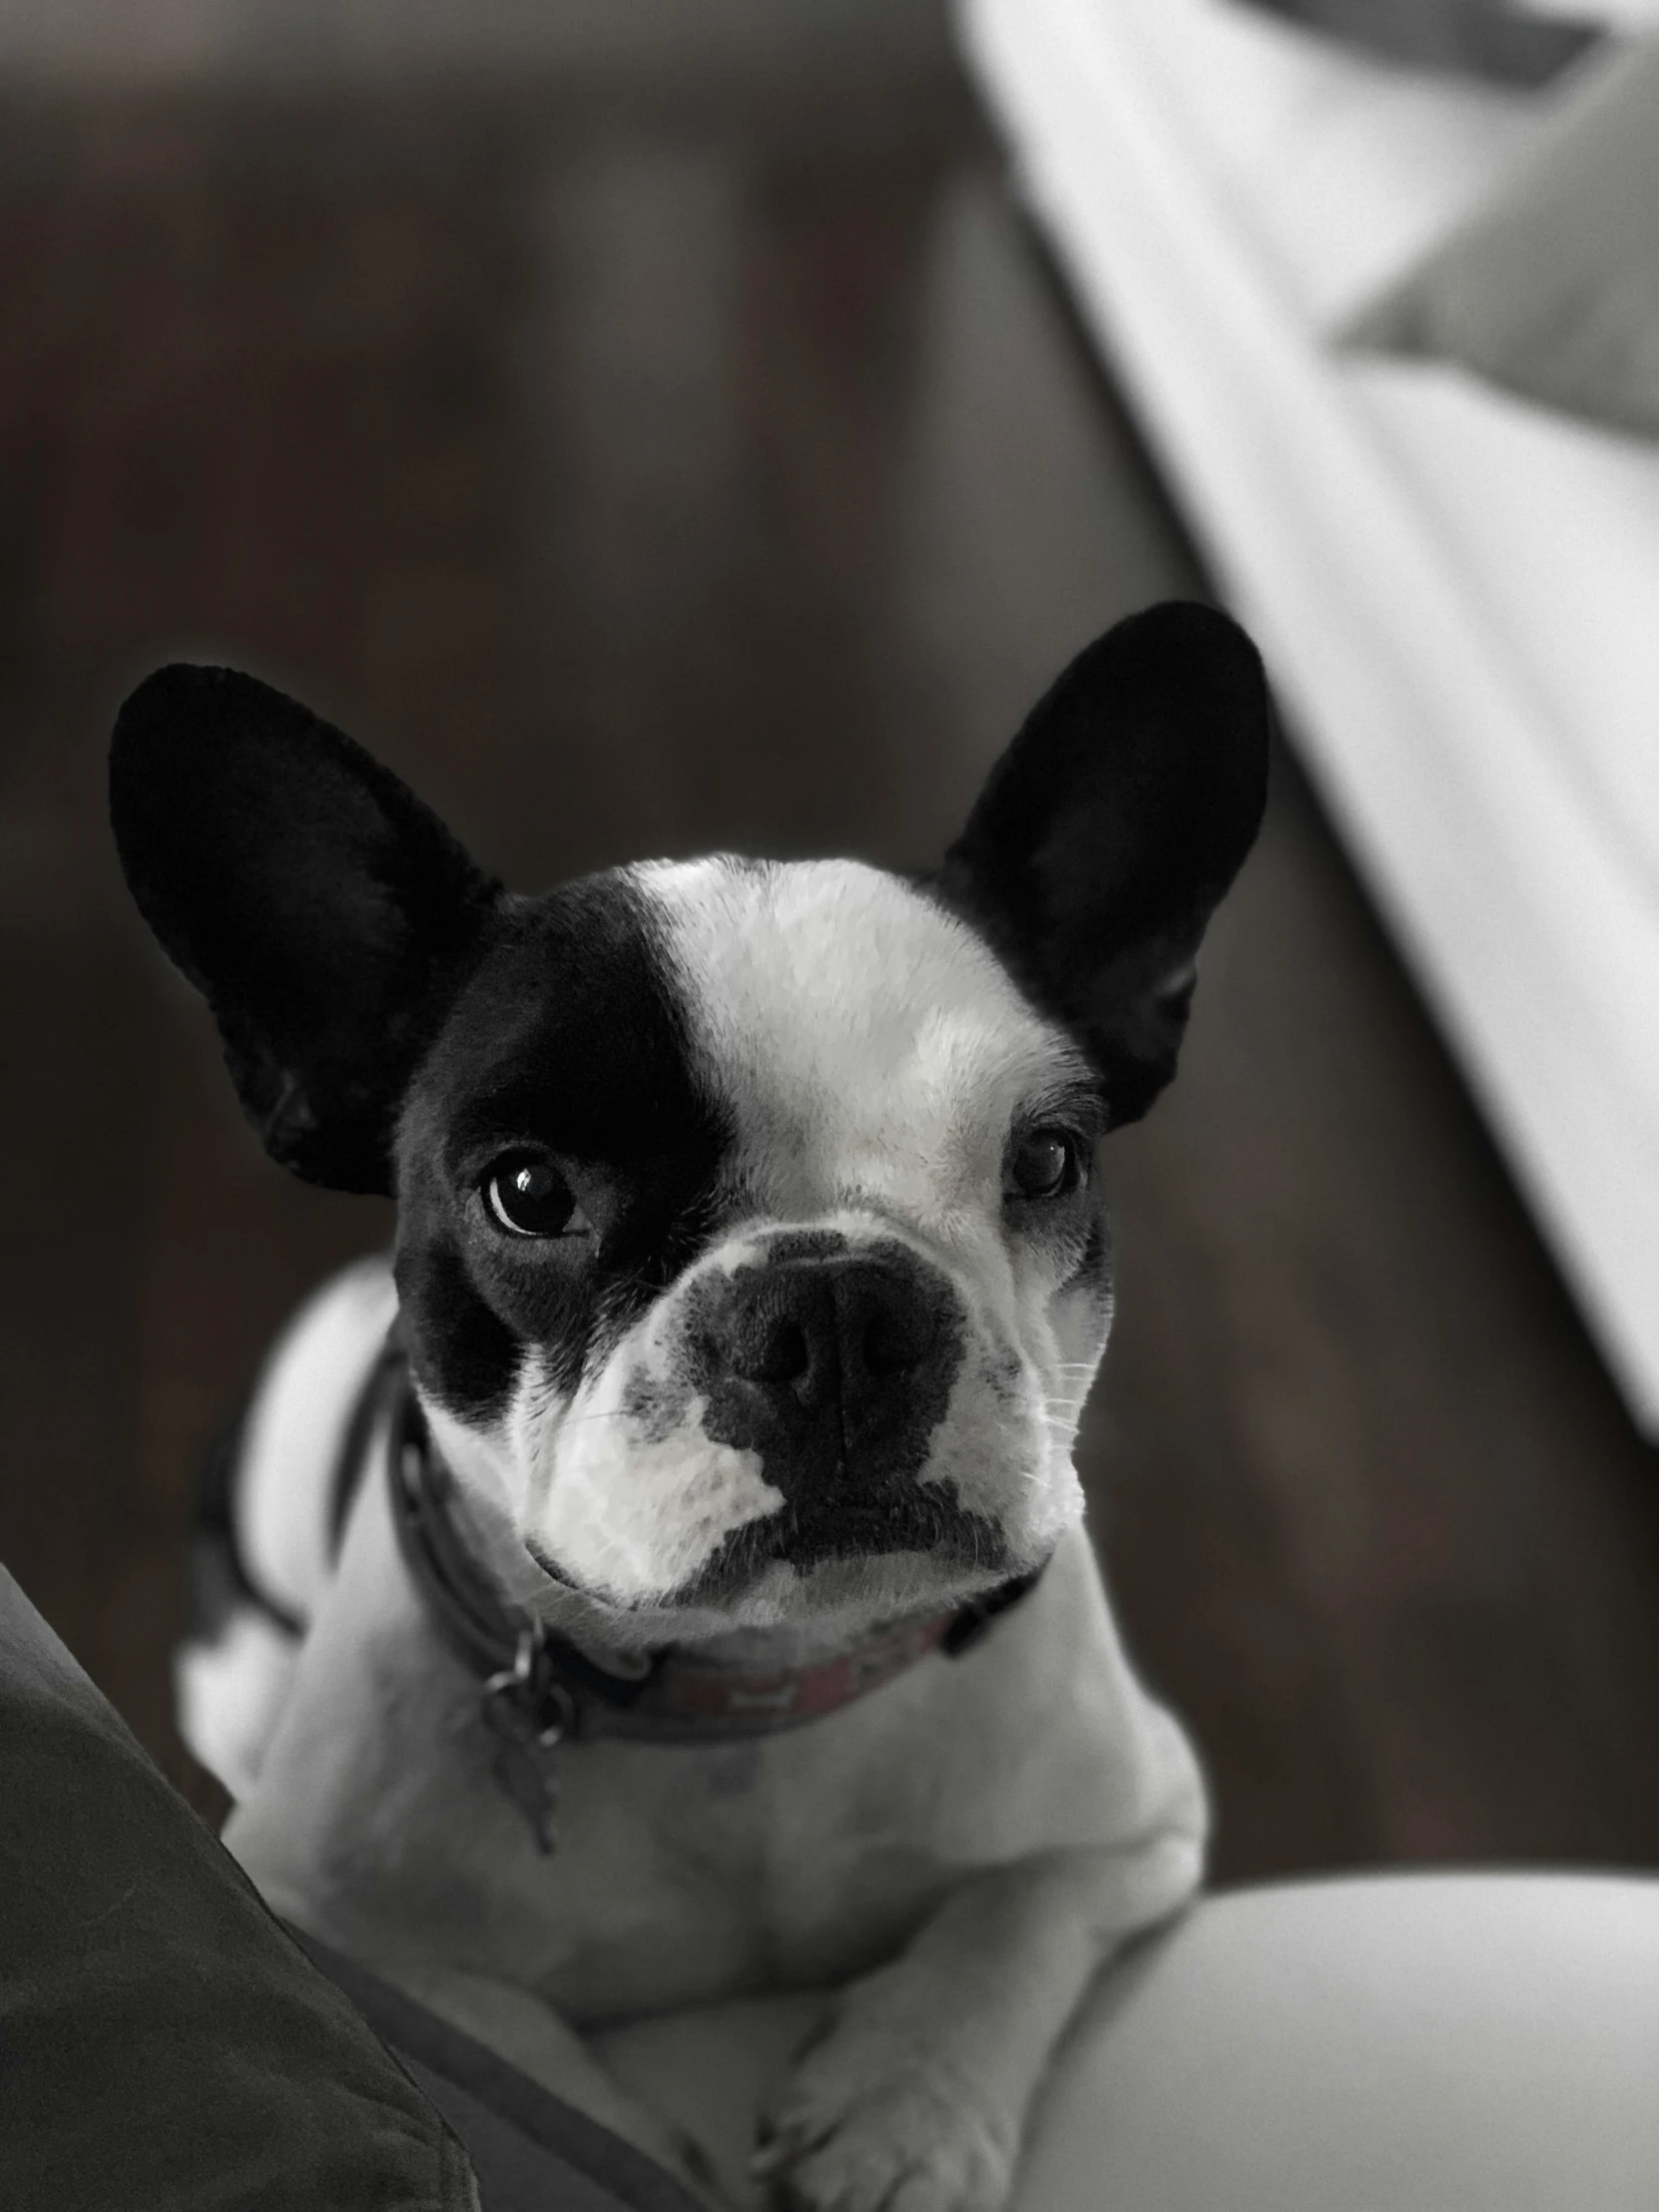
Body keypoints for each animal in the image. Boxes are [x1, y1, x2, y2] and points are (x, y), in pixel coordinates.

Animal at [114, 606, 1274, 2212]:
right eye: (528, 1193)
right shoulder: (314, 1914)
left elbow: (1009, 1921)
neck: (750, 1686)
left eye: (1046, 1159)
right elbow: (504, 2052)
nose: (836, 1315)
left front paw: (900, 2109)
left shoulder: (1136, 1816)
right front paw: (644, 2149)